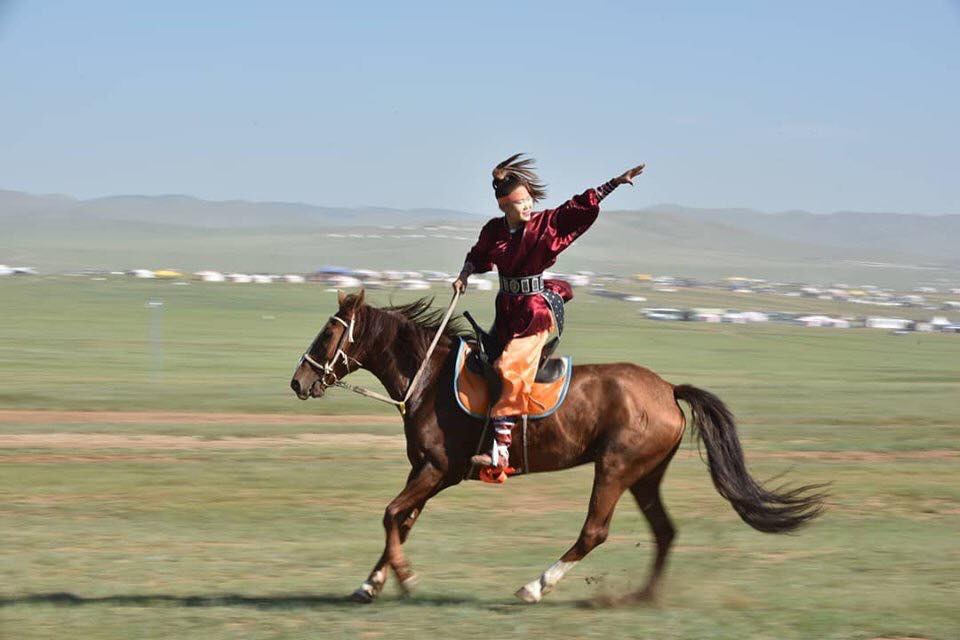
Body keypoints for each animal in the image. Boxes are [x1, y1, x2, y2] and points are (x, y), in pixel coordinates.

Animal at [289, 290, 826, 604]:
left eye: (329, 332)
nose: (298, 381)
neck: (430, 378)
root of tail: (669, 389)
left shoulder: (438, 469)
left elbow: (391, 514)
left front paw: (404, 578)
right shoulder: (425, 471)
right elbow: (401, 519)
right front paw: (372, 582)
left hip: (614, 468)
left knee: (594, 532)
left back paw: (534, 587)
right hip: (645, 476)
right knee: (665, 531)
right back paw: (641, 598)